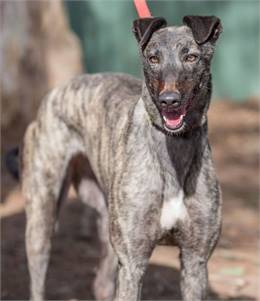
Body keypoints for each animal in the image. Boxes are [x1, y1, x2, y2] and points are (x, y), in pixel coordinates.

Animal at [21, 14, 222, 300]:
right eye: (153, 58)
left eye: (191, 57)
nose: (168, 101)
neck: (172, 149)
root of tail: (55, 91)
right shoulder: (132, 261)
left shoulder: (196, 260)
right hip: (41, 218)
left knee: (101, 284)